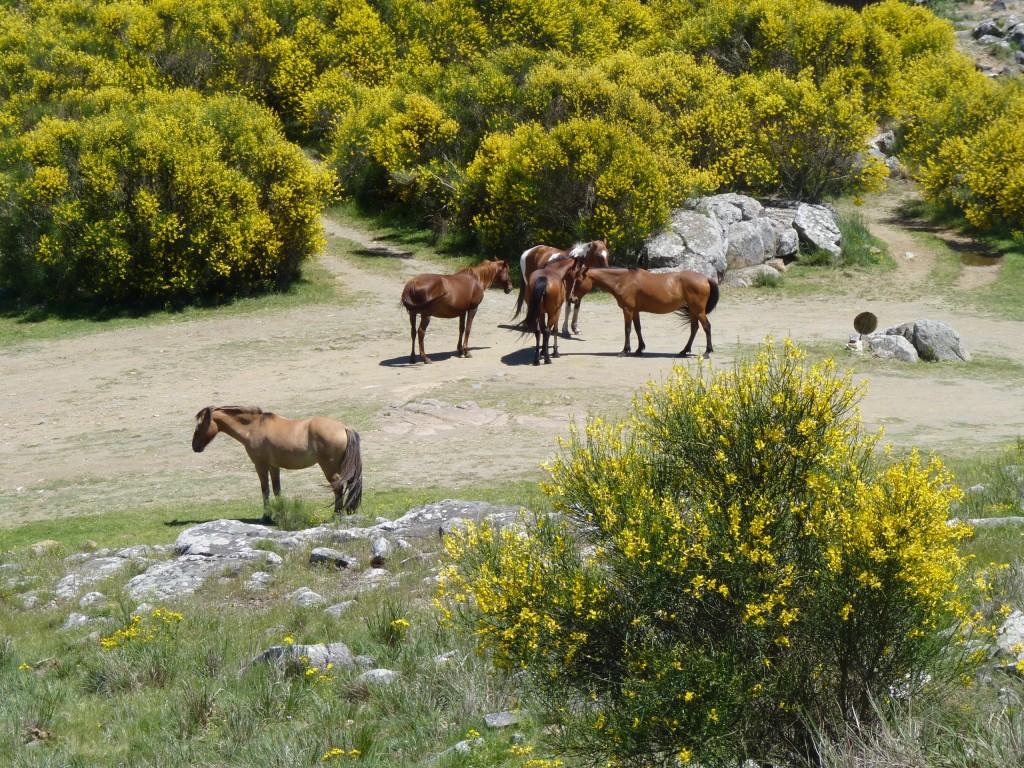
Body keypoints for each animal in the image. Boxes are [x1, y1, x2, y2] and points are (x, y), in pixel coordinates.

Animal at [192, 405, 364, 520]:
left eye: (200, 424)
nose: (195, 446)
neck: (252, 428)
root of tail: (345, 428)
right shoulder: (274, 466)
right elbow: (277, 490)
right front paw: (280, 513)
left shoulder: (260, 465)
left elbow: (265, 490)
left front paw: (266, 517)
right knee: (350, 484)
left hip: (329, 467)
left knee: (337, 487)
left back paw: (336, 515)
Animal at [577, 268, 720, 358]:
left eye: (578, 281)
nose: (573, 298)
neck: (623, 280)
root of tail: (705, 278)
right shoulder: (635, 311)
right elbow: (638, 328)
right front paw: (639, 349)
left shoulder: (627, 310)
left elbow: (627, 329)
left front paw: (625, 350)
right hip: (693, 310)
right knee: (694, 328)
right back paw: (684, 351)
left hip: (698, 310)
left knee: (706, 327)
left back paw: (707, 352)